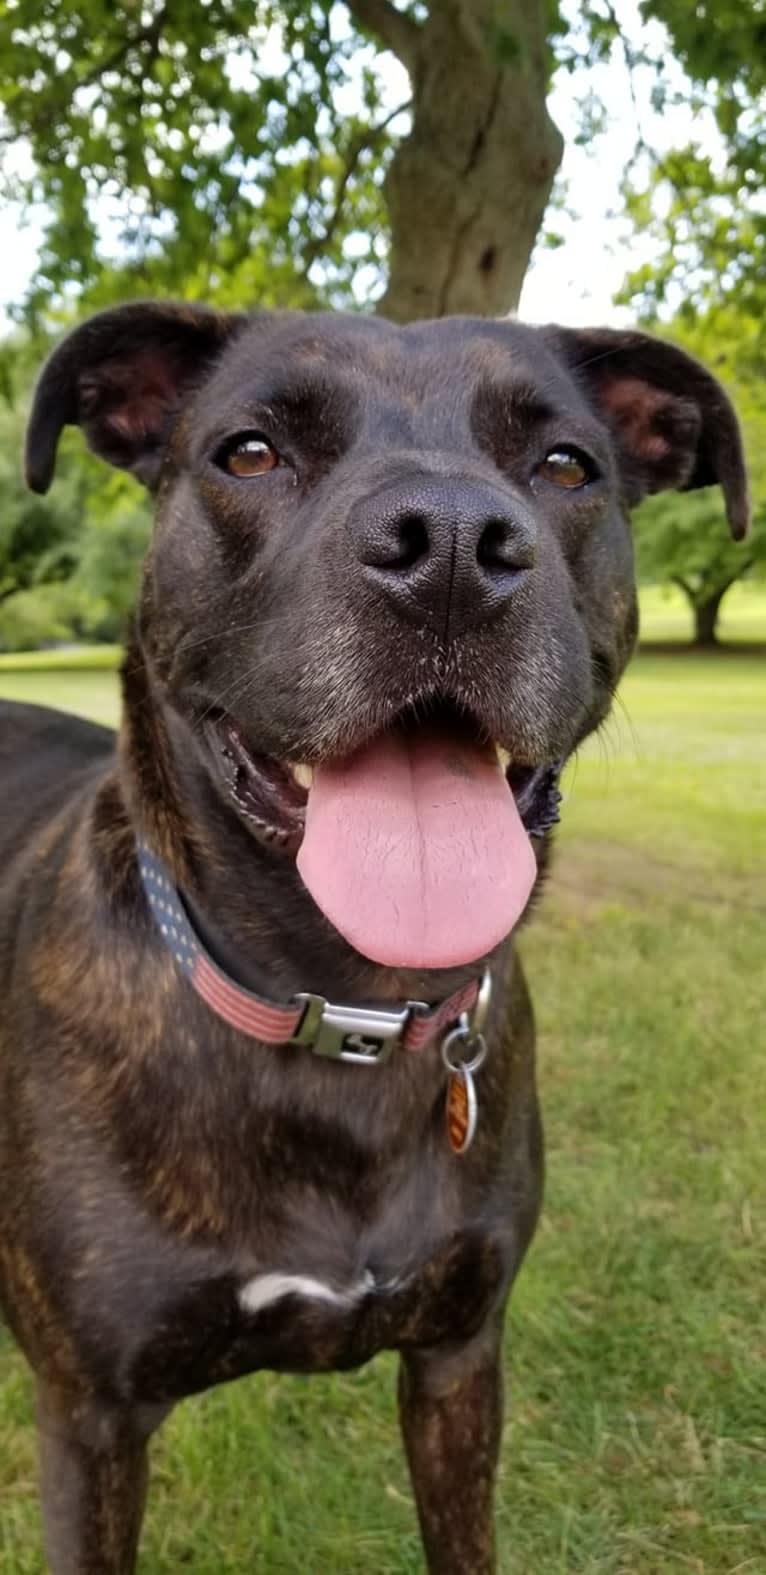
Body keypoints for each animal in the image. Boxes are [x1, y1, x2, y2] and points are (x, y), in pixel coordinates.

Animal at [0, 300, 747, 1568]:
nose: (448, 543)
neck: (340, 1002)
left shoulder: (458, 1359)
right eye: (249, 452)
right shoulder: (92, 1425)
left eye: (566, 466)